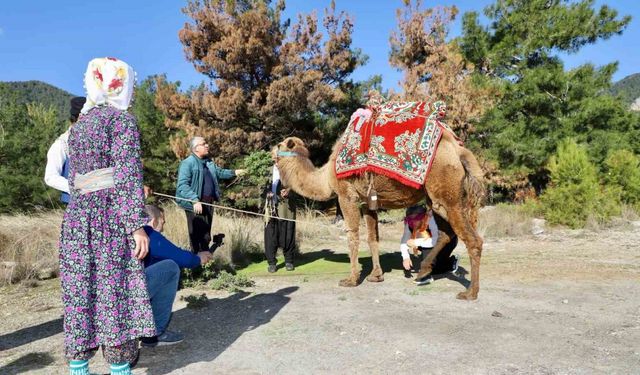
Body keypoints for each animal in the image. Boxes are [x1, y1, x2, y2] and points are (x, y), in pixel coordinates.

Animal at [274, 128, 484, 302]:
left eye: (279, 145)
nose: (271, 151)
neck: (325, 177)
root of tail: (459, 152)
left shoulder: (346, 195)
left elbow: (352, 236)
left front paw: (351, 279)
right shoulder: (368, 202)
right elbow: (372, 238)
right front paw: (376, 275)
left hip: (446, 193)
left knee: (472, 239)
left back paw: (470, 293)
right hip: (435, 199)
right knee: (445, 233)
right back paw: (424, 270)